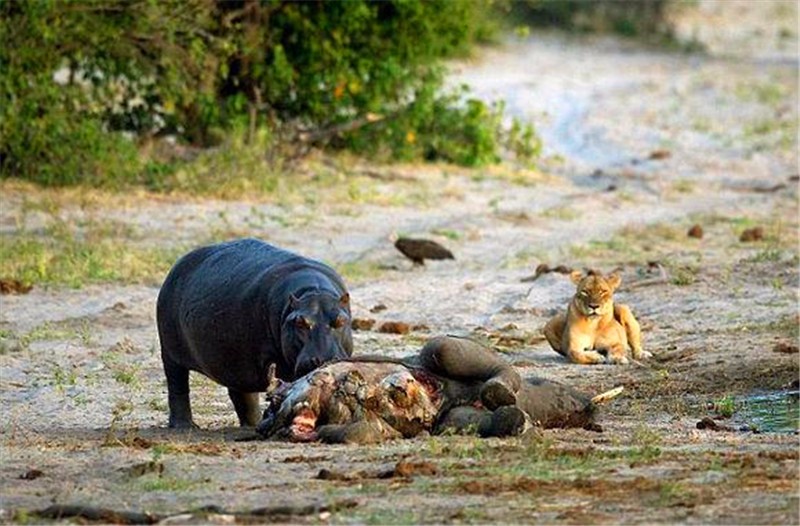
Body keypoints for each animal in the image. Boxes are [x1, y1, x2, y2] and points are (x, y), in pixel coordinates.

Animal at [156, 239, 354, 428]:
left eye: (340, 320)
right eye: (299, 322)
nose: (323, 360)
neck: (312, 292)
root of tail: (178, 264)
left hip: (235, 363)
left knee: (242, 394)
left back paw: (252, 423)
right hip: (170, 354)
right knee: (178, 386)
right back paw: (185, 426)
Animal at [256, 336, 612, 444]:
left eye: (273, 403)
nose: (272, 420)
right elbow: (363, 430)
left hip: (439, 352)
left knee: (446, 349)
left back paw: (499, 391)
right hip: (453, 418)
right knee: (487, 418)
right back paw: (515, 420)